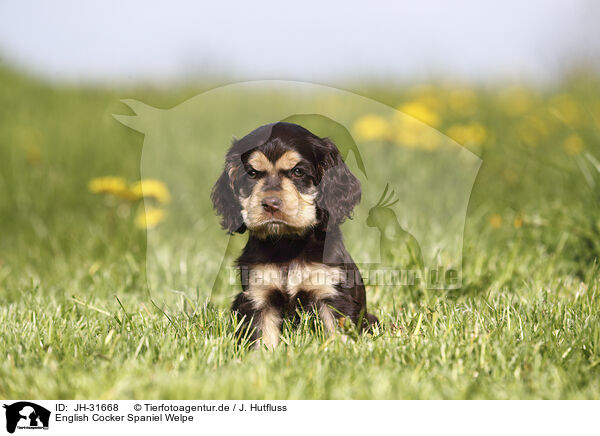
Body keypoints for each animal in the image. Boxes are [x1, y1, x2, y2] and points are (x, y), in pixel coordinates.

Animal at [213, 122, 378, 348]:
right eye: (252, 174)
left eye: (298, 172)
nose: (271, 204)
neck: (287, 245)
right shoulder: (259, 295)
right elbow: (262, 338)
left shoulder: (331, 293)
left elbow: (339, 335)